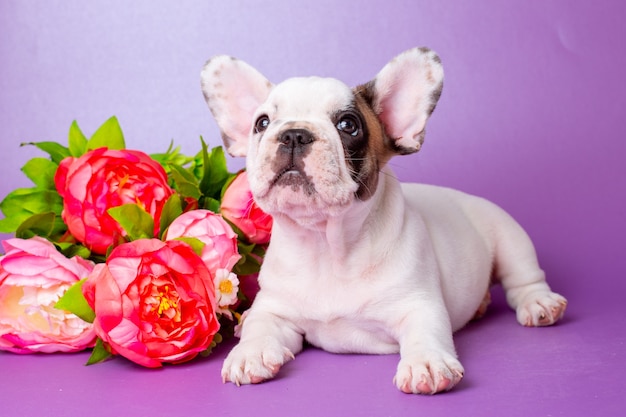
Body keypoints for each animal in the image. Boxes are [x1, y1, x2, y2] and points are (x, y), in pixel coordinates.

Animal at [200, 48, 564, 394]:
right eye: (262, 123)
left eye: (348, 125)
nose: (294, 135)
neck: (326, 246)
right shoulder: (275, 307)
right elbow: (261, 324)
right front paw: (249, 353)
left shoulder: (420, 305)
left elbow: (426, 333)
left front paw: (426, 363)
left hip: (510, 237)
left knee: (523, 279)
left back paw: (539, 304)